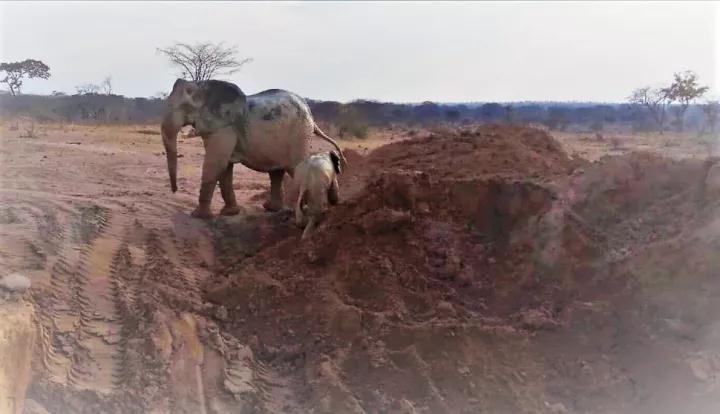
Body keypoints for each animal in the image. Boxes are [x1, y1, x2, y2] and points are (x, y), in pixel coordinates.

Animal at [160, 78, 346, 218]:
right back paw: (272, 209)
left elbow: (215, 164)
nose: (174, 190)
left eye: (184, 107)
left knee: (296, 168)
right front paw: (230, 213)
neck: (203, 87)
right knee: (276, 172)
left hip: (299, 134)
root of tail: (310, 114)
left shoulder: (225, 127)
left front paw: (198, 216)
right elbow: (225, 168)